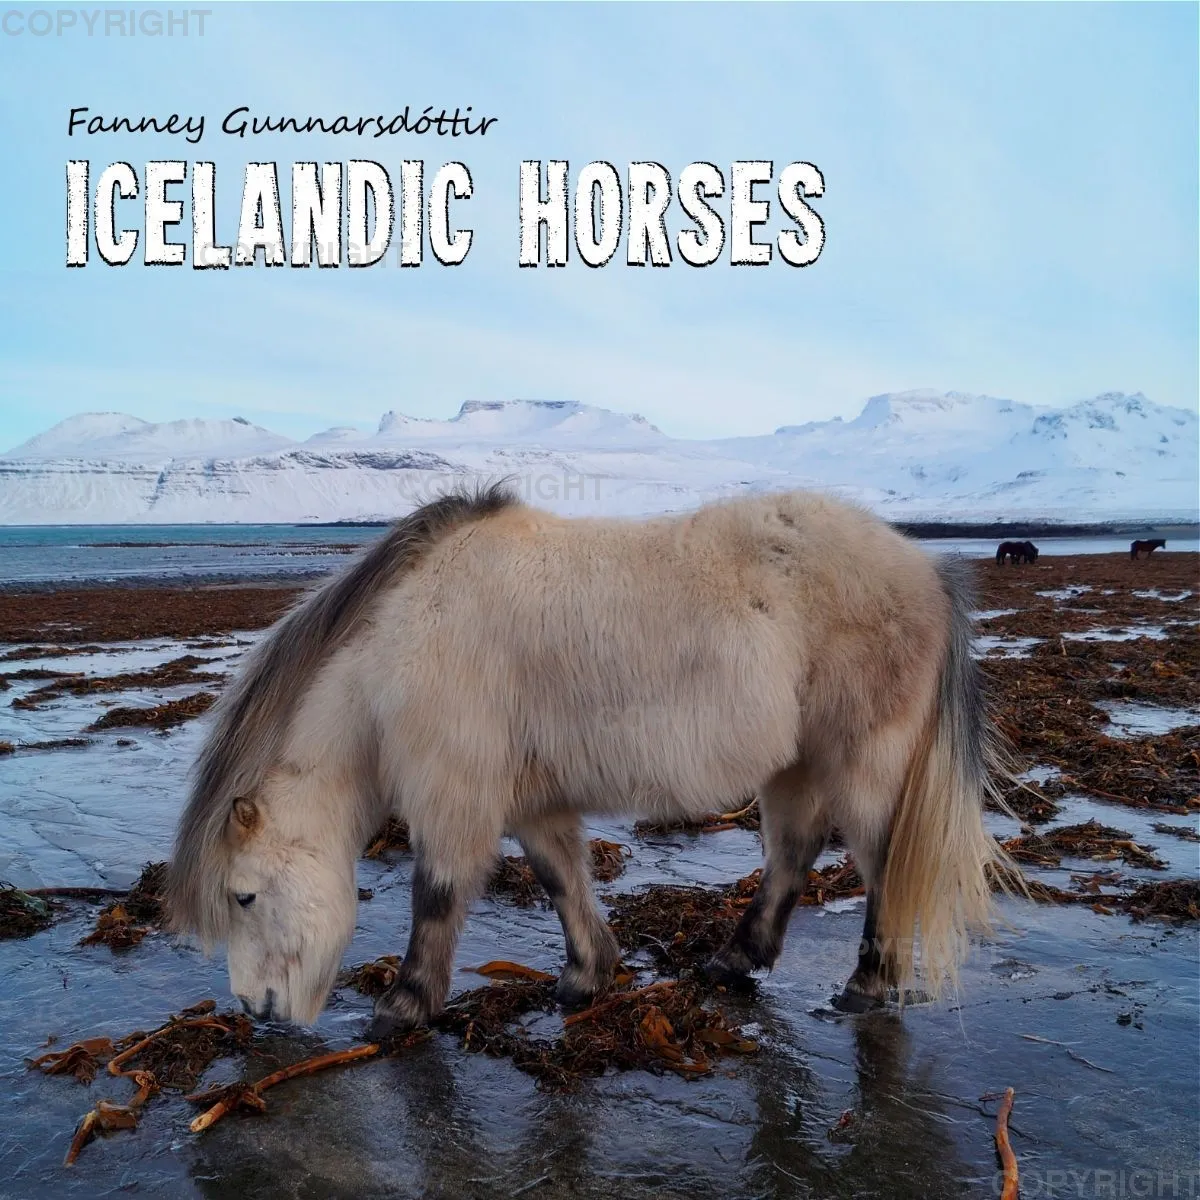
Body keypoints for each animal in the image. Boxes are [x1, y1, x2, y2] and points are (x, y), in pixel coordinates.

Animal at [167, 484, 1013, 1036]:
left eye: (243, 896)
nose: (256, 1011)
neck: (401, 638)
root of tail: (928, 570)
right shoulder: (532, 801)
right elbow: (560, 878)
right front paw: (587, 975)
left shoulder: (453, 793)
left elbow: (435, 893)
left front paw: (404, 1006)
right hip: (796, 766)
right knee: (793, 855)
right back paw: (731, 961)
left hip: (862, 763)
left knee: (882, 866)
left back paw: (866, 986)